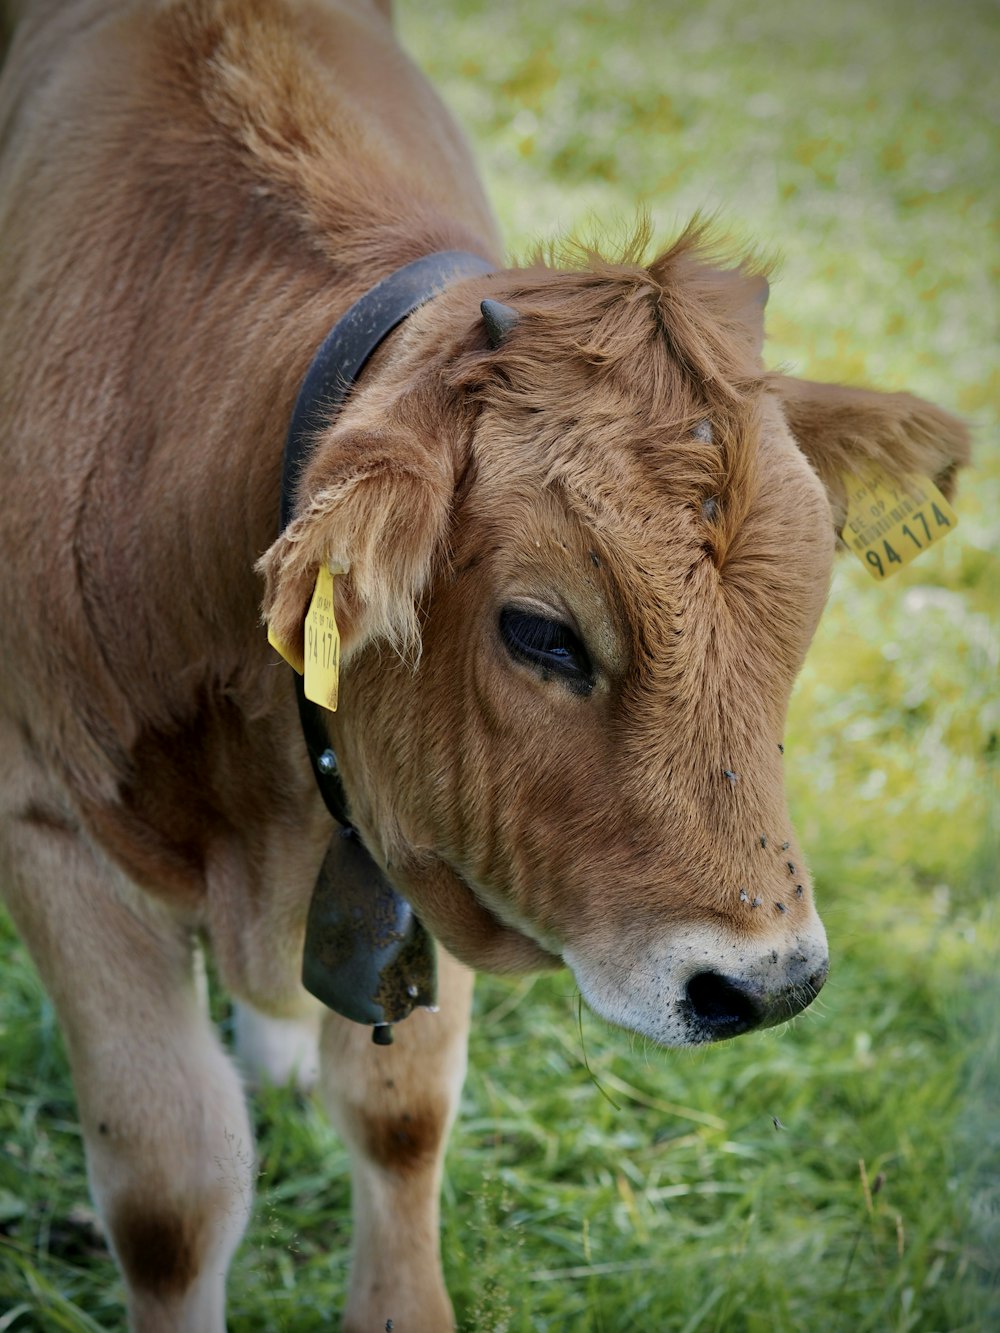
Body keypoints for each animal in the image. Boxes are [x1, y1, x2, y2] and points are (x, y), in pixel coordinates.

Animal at [0, 0, 970, 1322]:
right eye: (540, 630)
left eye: (807, 605)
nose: (766, 982)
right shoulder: (49, 825)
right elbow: (171, 1197)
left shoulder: (431, 826)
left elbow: (401, 1120)